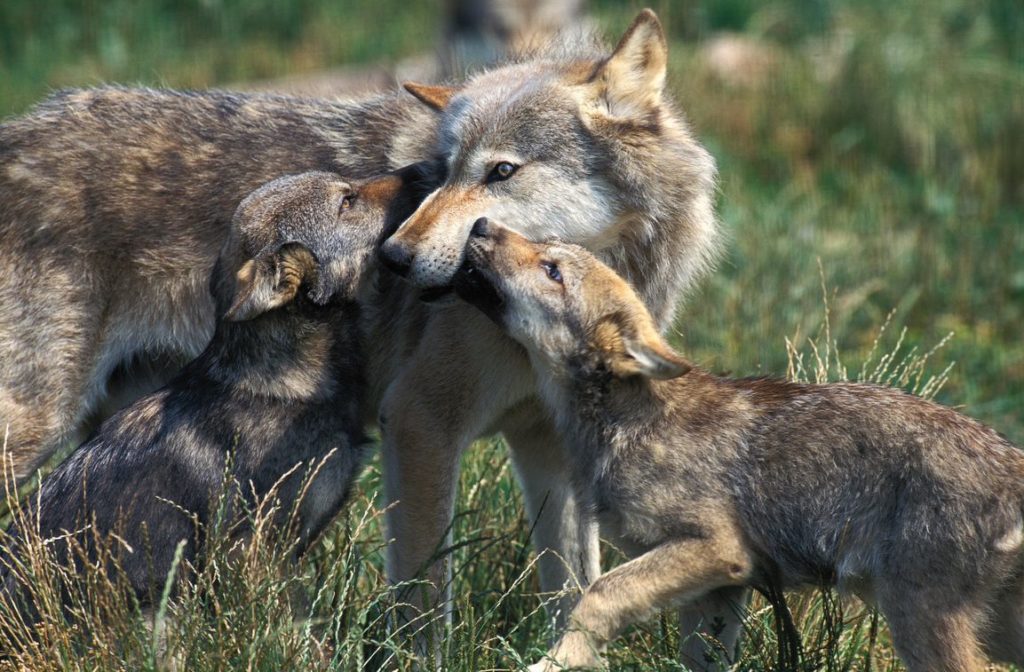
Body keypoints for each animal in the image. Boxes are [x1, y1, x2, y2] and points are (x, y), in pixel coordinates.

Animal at [455, 218, 1024, 672]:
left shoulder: (715, 550)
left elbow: (597, 595)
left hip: (917, 621)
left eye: (552, 270)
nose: (480, 223)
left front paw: (553, 662)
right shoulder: (720, 590)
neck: (622, 422)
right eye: (544, 249)